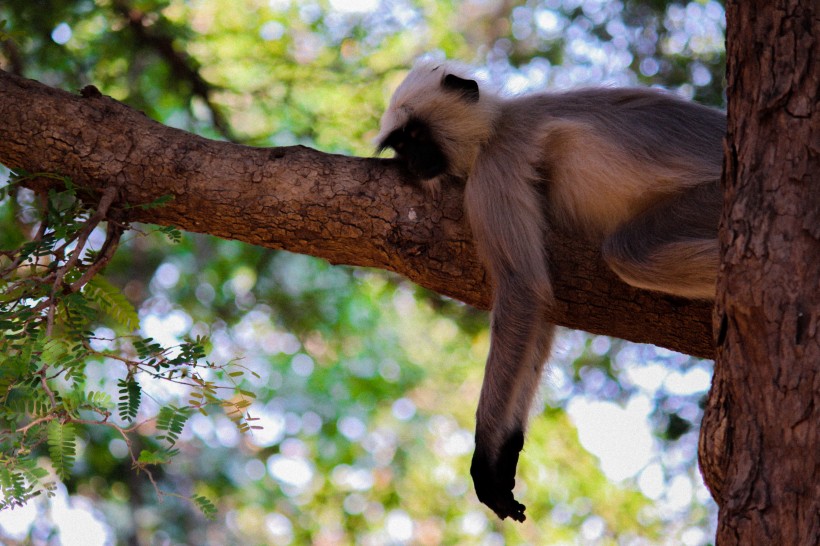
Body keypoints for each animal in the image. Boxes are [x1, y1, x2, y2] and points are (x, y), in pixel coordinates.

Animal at [378, 58, 724, 520]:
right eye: (400, 145)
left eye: (416, 137)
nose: (413, 163)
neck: (497, 124)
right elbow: (539, 308)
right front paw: (507, 451)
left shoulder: (495, 168)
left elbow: (522, 290)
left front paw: (485, 456)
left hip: (714, 198)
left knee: (630, 252)